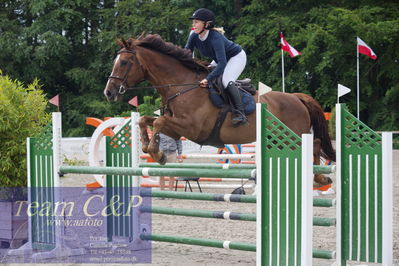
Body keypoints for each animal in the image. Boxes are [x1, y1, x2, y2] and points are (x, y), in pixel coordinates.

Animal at [104, 34, 336, 185]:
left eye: (124, 62)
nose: (109, 92)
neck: (181, 86)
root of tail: (297, 98)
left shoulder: (191, 128)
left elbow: (158, 121)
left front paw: (157, 153)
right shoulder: (177, 129)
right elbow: (144, 120)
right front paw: (149, 148)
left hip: (294, 134)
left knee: (315, 144)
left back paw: (320, 177)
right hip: (281, 137)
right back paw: (318, 178)